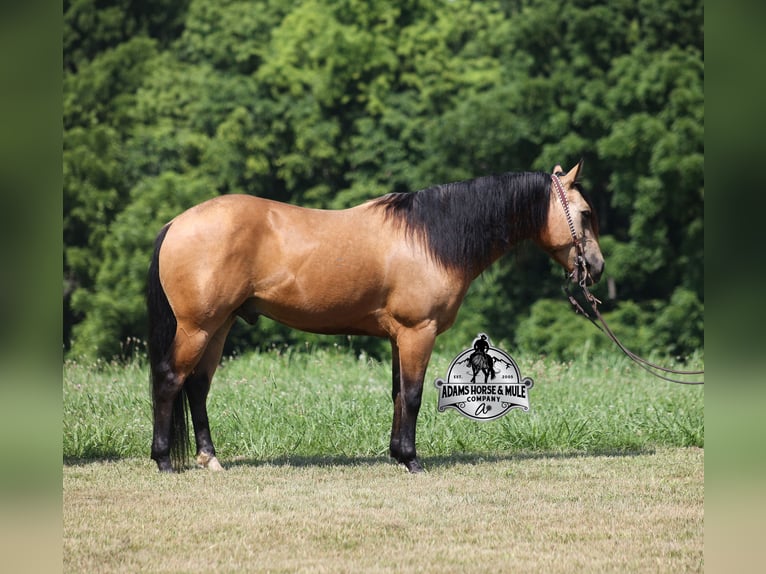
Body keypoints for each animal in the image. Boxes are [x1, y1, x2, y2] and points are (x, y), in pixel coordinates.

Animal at [146, 161, 603, 473]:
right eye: (584, 213)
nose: (596, 268)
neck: (430, 239)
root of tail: (175, 223)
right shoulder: (418, 332)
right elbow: (414, 395)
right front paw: (413, 461)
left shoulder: (399, 337)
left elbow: (398, 394)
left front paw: (398, 455)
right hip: (198, 327)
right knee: (171, 379)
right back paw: (164, 459)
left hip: (219, 326)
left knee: (198, 387)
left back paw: (210, 459)